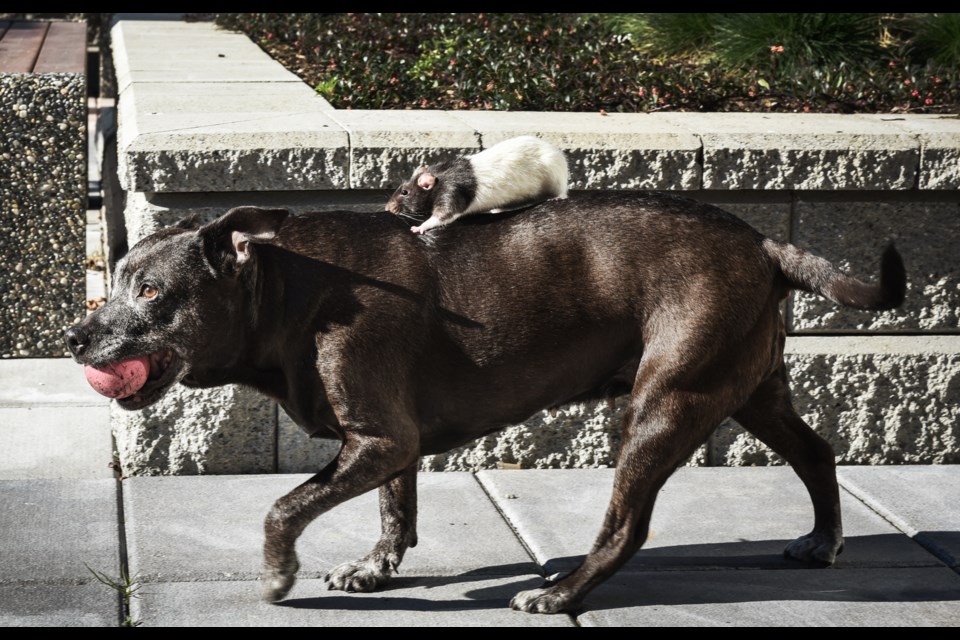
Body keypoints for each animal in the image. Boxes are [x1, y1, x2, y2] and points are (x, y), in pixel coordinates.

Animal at [63, 192, 904, 612]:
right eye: (119, 279)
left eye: (151, 292)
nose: (74, 335)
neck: (291, 288)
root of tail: (763, 243)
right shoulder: (389, 445)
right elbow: (394, 510)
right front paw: (376, 570)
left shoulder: (378, 440)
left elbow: (282, 507)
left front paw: (277, 576)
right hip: (751, 390)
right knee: (817, 452)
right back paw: (823, 541)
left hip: (665, 404)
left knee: (626, 527)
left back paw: (561, 592)